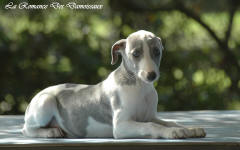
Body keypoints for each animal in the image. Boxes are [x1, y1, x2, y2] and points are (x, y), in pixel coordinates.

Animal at [23, 29, 206, 139]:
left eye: (157, 52)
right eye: (136, 54)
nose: (151, 75)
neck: (140, 87)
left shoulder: (149, 116)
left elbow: (168, 121)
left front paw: (188, 129)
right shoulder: (121, 126)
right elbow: (151, 126)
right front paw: (172, 132)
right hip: (45, 102)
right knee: (26, 129)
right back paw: (50, 131)